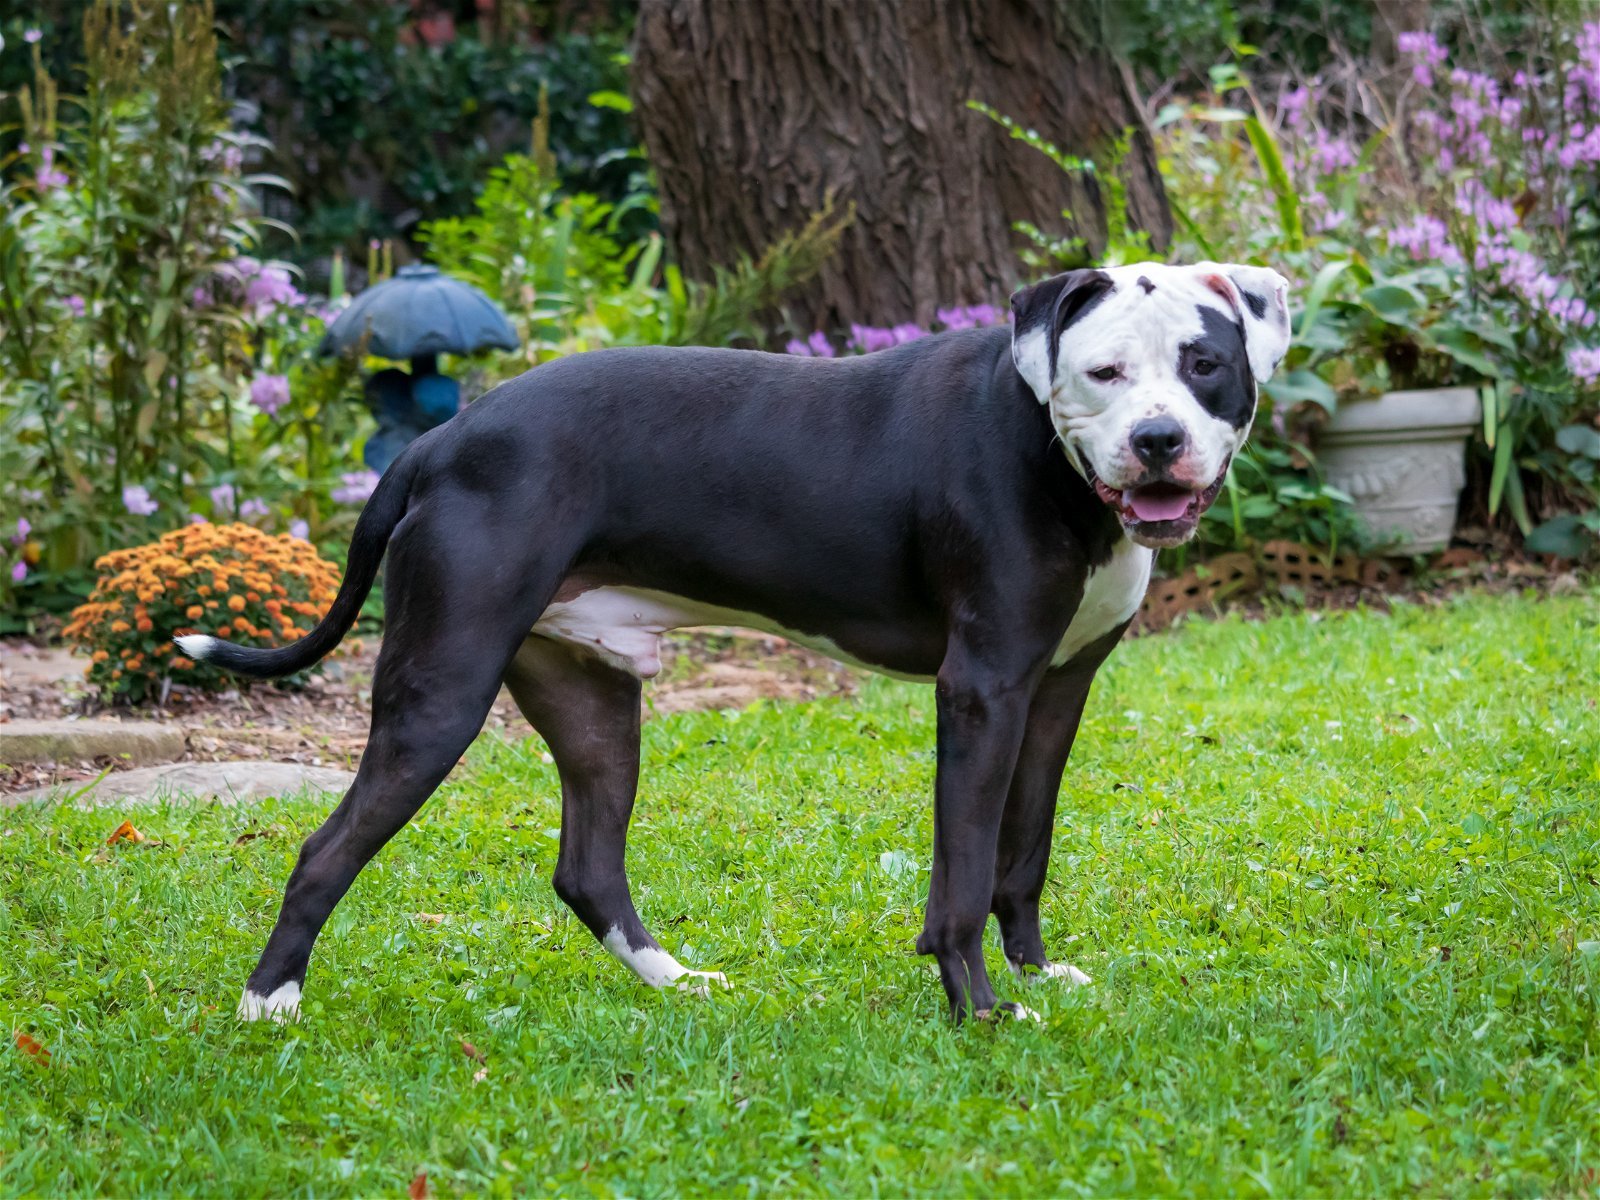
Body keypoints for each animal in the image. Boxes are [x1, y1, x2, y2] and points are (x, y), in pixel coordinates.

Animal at [184, 262, 1286, 1024]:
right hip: (441, 692)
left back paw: (674, 979)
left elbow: (1023, 850)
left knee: (588, 868)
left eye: (1204, 366)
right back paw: (267, 1004)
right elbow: (964, 872)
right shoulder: (982, 689)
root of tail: (441, 441)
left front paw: (1037, 973)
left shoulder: (1056, 690)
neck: (1048, 452)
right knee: (325, 848)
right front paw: (979, 1009)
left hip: (591, 697)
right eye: (1104, 371)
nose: (1156, 442)